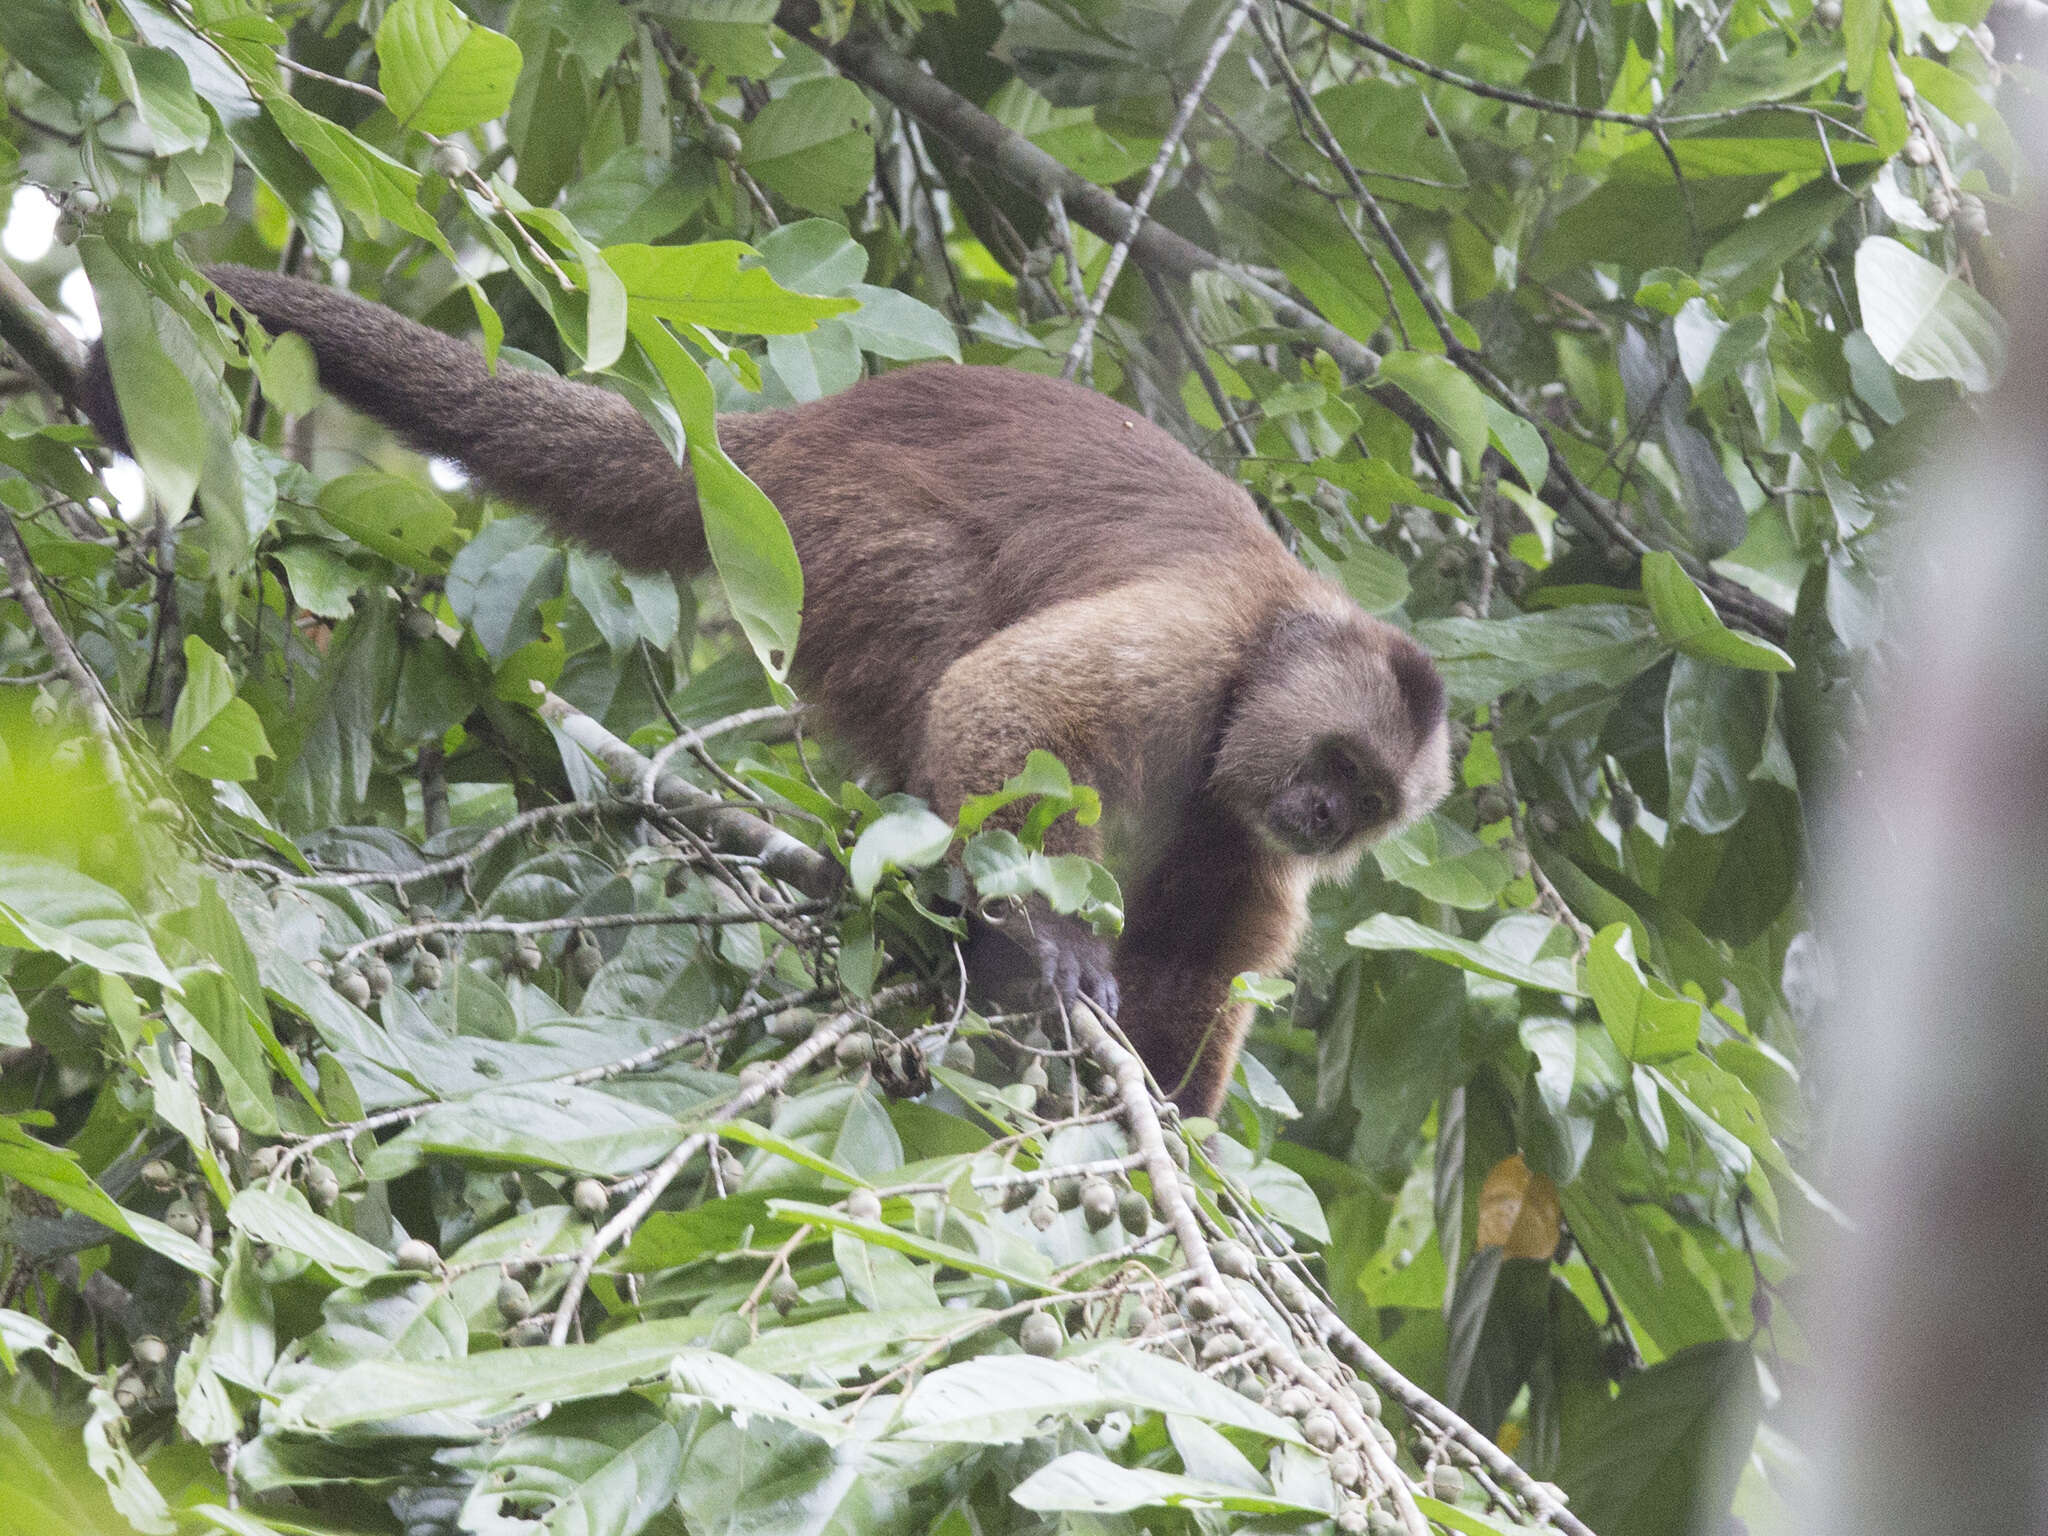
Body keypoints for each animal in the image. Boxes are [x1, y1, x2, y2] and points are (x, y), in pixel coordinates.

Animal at [83, 268, 1458, 1122]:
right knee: (944, 640)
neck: (1261, 665)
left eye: (1364, 801)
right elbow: (1005, 703)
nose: (1323, 820)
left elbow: (1206, 952)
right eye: (1336, 765)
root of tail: (792, 437)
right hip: (841, 543)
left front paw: (1172, 1108)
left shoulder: (1245, 818)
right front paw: (1053, 949)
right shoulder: (1201, 648)